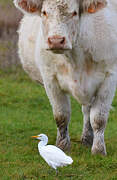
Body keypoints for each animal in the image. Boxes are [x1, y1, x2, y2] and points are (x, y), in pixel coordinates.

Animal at [13, 0, 117, 155]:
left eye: (74, 13)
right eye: (44, 12)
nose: (56, 40)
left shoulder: (109, 78)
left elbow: (99, 118)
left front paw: (98, 150)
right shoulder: (50, 79)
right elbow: (61, 115)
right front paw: (62, 146)